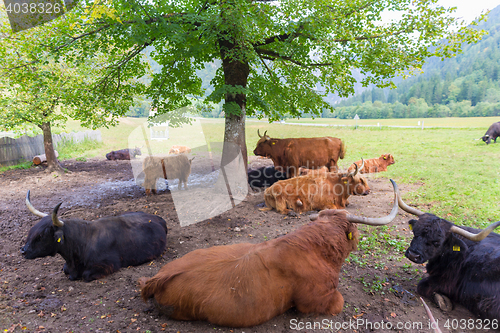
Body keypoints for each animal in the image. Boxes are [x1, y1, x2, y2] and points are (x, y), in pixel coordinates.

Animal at [398, 188, 500, 318]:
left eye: (437, 242)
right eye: (415, 232)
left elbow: (422, 286)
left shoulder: (448, 282)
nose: (413, 255)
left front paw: (443, 301)